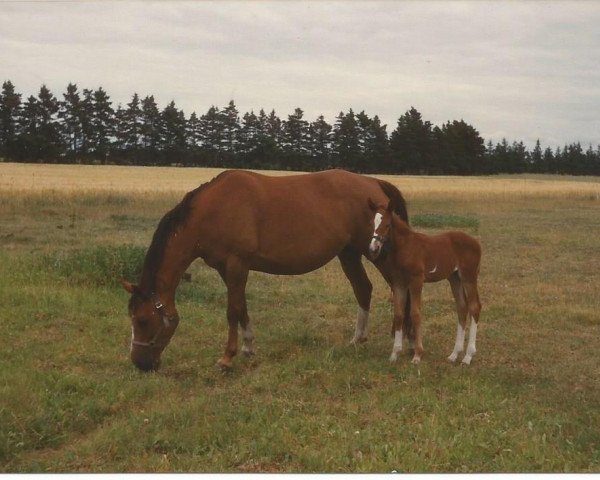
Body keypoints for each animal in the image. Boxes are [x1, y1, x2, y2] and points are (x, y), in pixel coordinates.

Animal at [122, 169, 412, 372]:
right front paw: (248, 347)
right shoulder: (227, 269)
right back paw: (358, 339)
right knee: (363, 289)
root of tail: (374, 183)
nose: (139, 363)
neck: (214, 210)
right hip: (349, 253)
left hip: (377, 253)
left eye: (143, 320)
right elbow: (241, 306)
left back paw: (403, 343)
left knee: (399, 289)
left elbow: (232, 310)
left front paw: (227, 358)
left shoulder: (237, 264)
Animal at [366, 201, 482, 366]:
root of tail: (476, 242)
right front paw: (394, 354)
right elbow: (399, 315)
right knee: (462, 307)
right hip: (455, 278)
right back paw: (454, 354)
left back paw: (468, 357)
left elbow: (415, 314)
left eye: (387, 225)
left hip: (469, 277)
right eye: (372, 223)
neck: (406, 247)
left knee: (474, 307)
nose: (373, 248)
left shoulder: (416, 281)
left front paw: (417, 355)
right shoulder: (399, 283)